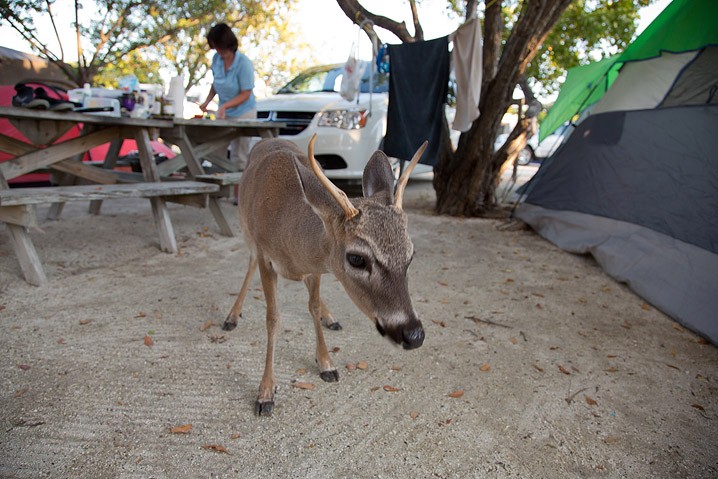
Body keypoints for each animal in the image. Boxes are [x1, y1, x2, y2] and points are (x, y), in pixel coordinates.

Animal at [225, 132, 428, 416]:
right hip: (246, 229)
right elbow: (273, 318)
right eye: (357, 258)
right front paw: (265, 393)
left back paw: (330, 317)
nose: (413, 334)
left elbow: (312, 306)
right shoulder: (266, 256)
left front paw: (326, 364)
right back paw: (232, 316)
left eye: (411, 254)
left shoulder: (317, 267)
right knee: (250, 263)